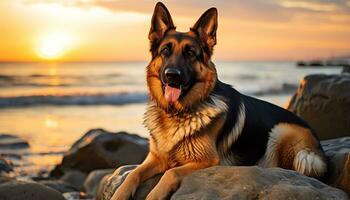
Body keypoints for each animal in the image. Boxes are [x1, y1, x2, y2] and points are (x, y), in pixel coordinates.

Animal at [113, 1, 328, 200]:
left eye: (190, 53)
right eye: (165, 50)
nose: (172, 75)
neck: (177, 113)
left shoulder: (207, 161)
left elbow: (170, 173)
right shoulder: (156, 158)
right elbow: (132, 174)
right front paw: (120, 193)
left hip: (281, 131)